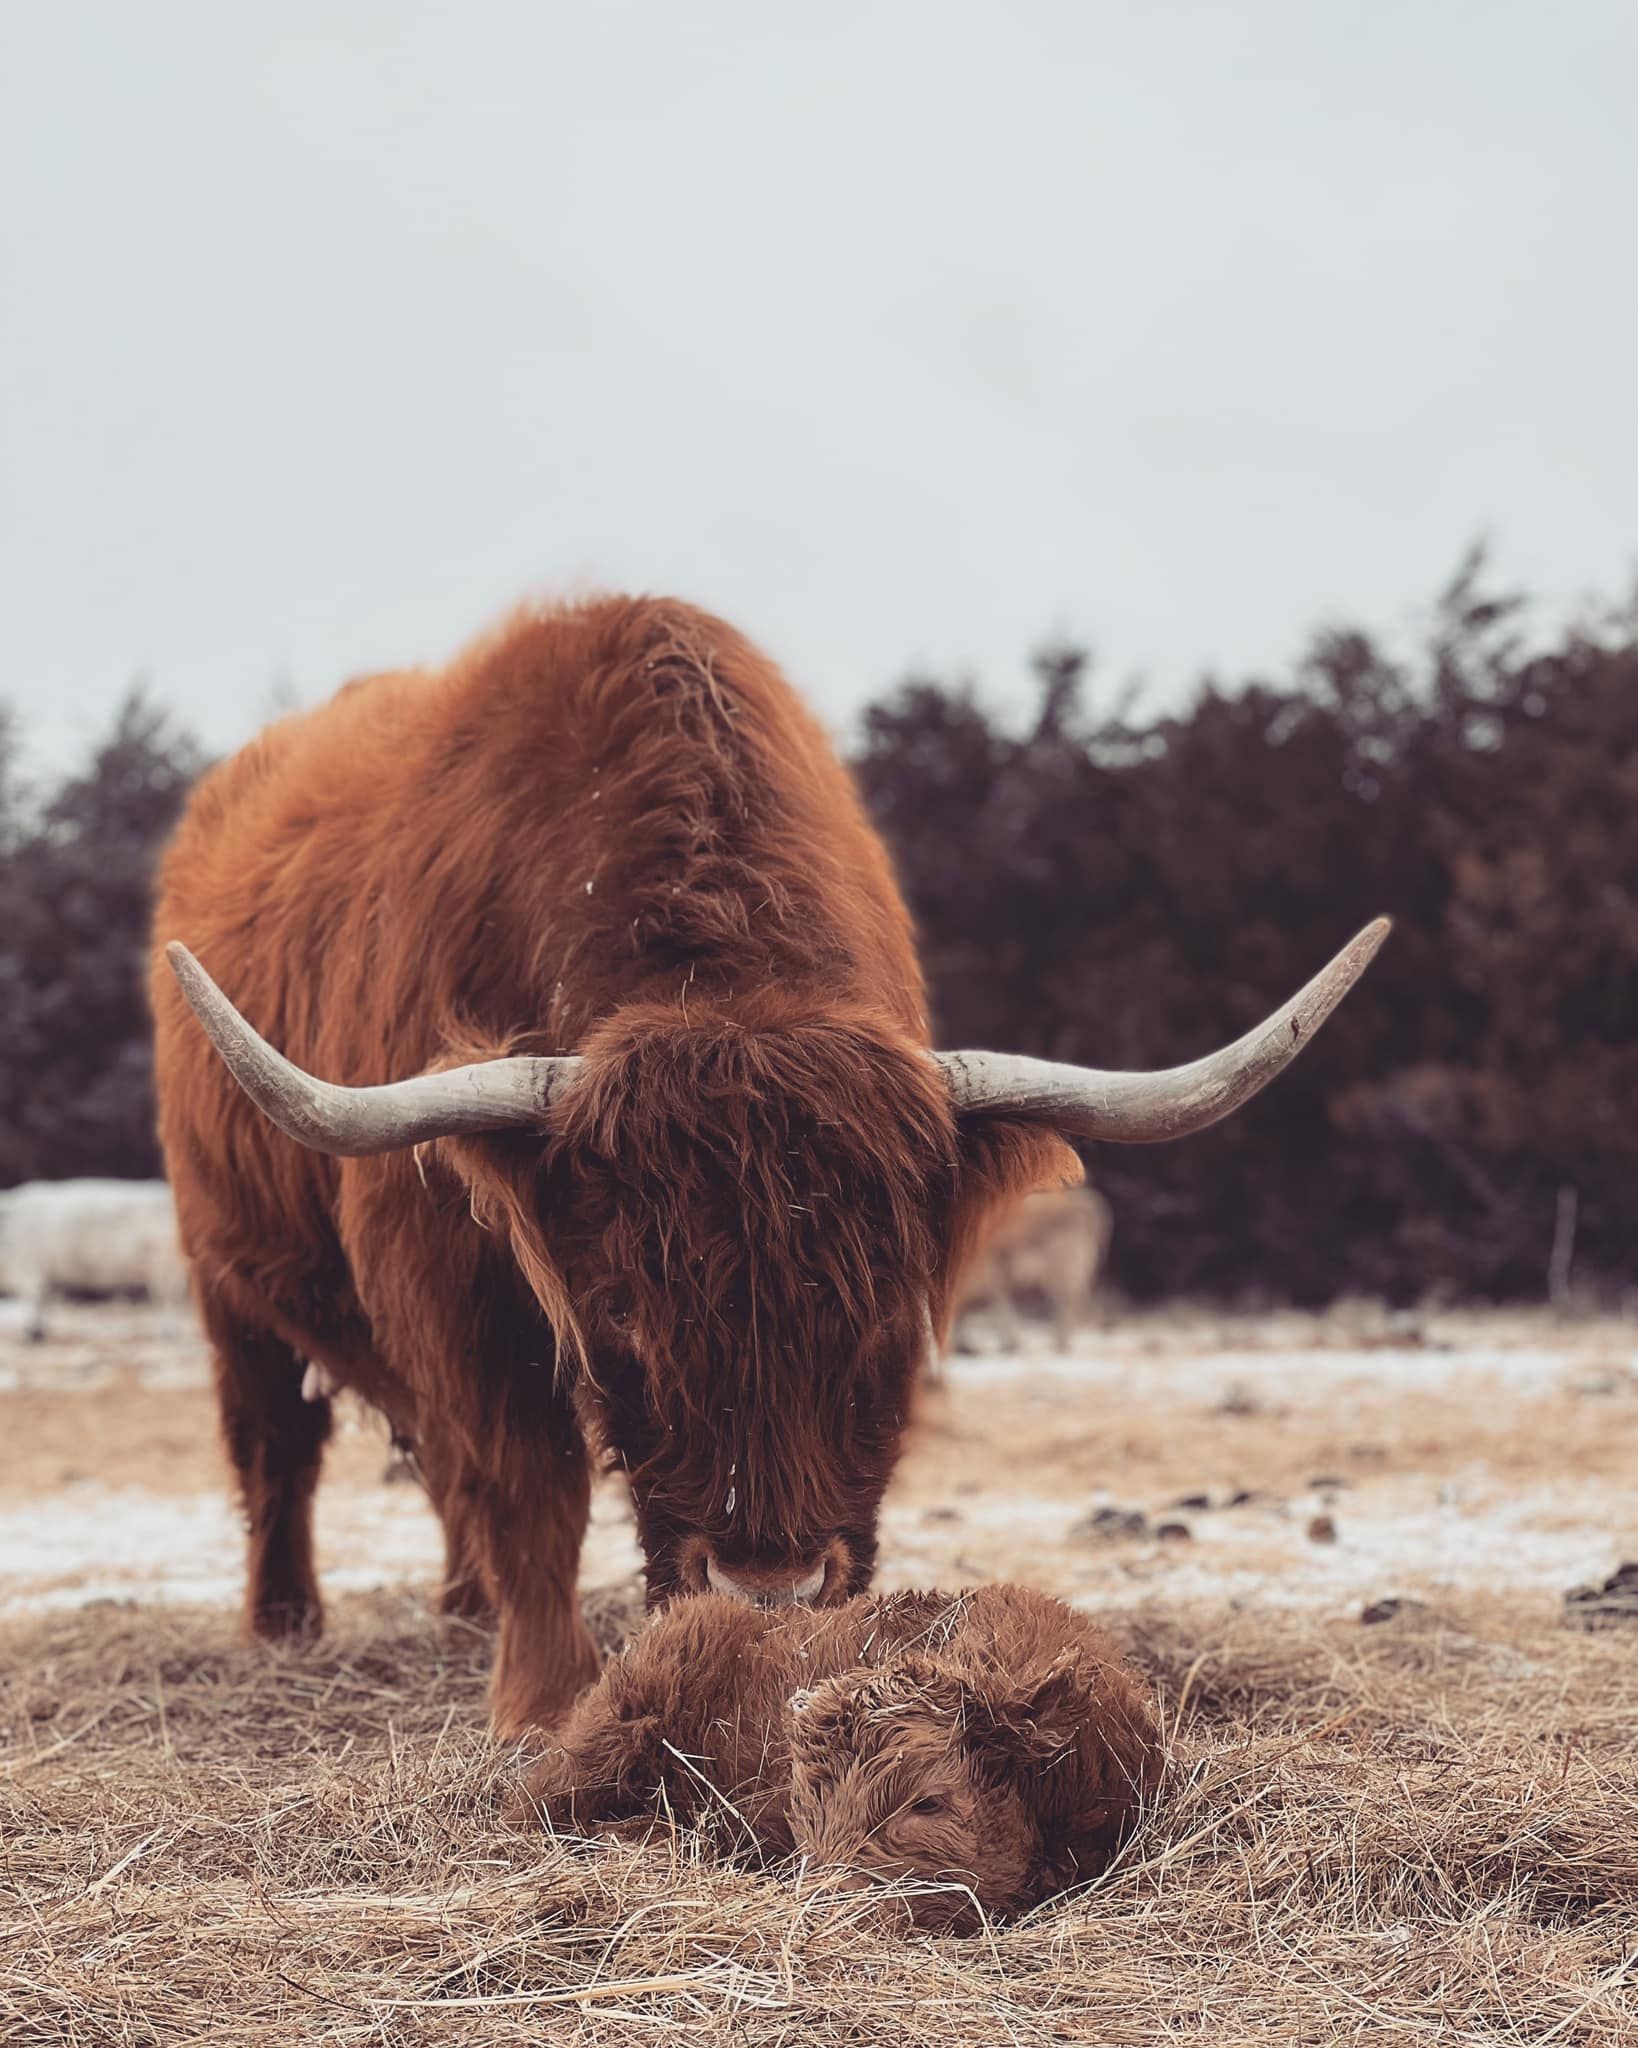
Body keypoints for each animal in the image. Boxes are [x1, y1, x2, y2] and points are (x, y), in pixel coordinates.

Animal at [0, 1179, 189, 1340]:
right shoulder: (47, 1278)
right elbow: (45, 1303)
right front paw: (39, 1332)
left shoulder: (30, 1271)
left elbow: (34, 1300)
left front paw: (32, 1332)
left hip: (164, 1267)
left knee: (167, 1300)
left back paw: (167, 1333)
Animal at [951, 1184, 1113, 1354]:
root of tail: (1086, 1199)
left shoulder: (992, 1271)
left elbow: (998, 1303)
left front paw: (1009, 1343)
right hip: (1060, 1273)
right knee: (1069, 1300)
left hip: (1065, 1266)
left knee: (1072, 1300)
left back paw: (1060, 1343)